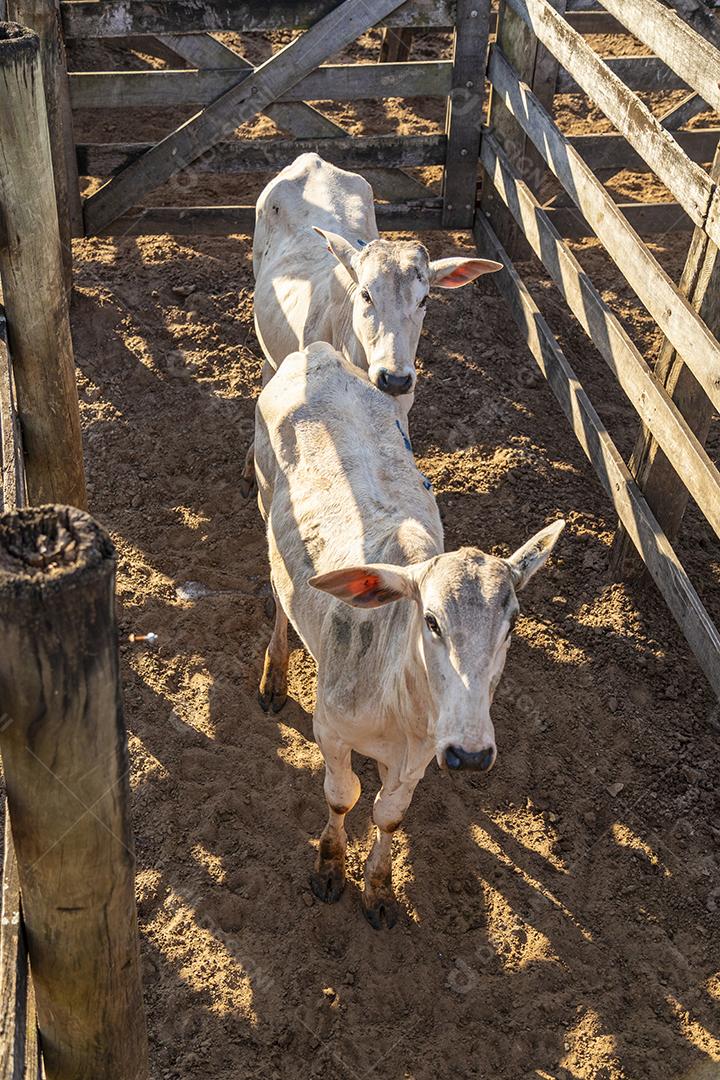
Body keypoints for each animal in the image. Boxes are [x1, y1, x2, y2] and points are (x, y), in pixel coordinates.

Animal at [254, 341, 564, 929]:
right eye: (432, 620)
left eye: (512, 623)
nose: (470, 754)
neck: (396, 704)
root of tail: (318, 353)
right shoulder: (330, 728)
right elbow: (342, 796)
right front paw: (329, 867)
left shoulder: (420, 754)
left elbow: (389, 815)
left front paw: (378, 889)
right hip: (264, 503)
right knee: (280, 598)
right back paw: (274, 677)